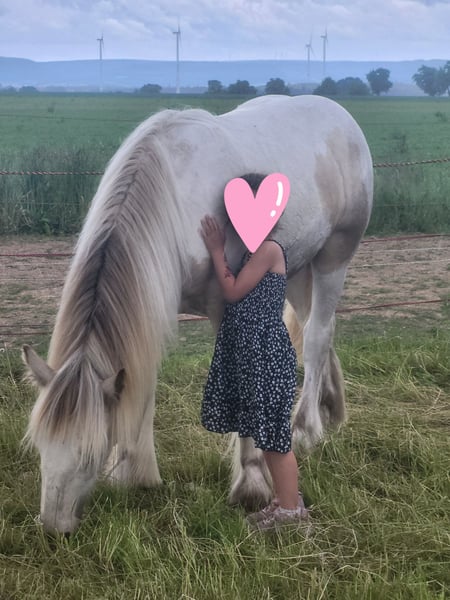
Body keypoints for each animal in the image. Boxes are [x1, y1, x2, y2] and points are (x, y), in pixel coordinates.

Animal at [23, 94, 373, 534]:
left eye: (89, 454)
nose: (54, 526)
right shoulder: (157, 300)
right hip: (294, 270)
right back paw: (330, 408)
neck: (172, 193)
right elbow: (142, 379)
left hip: (333, 258)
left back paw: (306, 428)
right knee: (317, 329)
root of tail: (341, 116)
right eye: (40, 444)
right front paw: (134, 473)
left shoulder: (227, 305)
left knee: (316, 337)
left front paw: (251, 482)